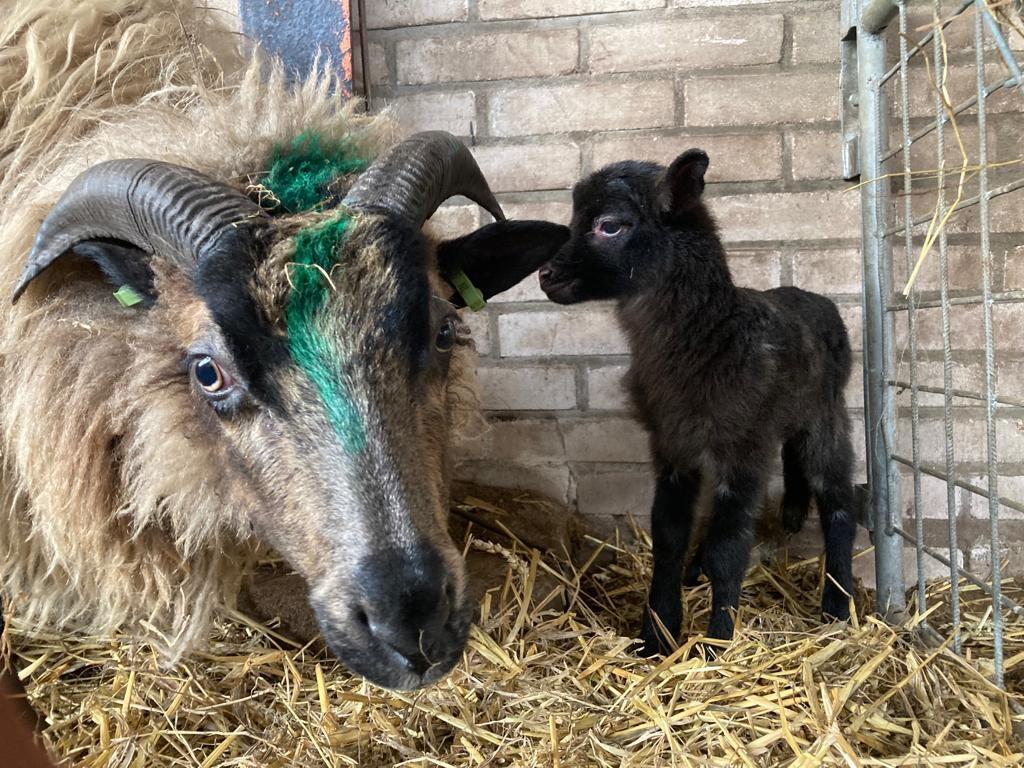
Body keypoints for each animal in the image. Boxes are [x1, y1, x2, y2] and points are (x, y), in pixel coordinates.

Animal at [536, 150, 856, 655]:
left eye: (610, 225)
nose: (546, 276)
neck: (713, 333)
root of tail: (814, 297)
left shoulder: (744, 449)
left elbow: (730, 548)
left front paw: (716, 644)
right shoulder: (672, 447)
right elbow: (668, 538)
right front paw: (656, 636)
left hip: (826, 415)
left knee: (840, 503)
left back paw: (837, 609)